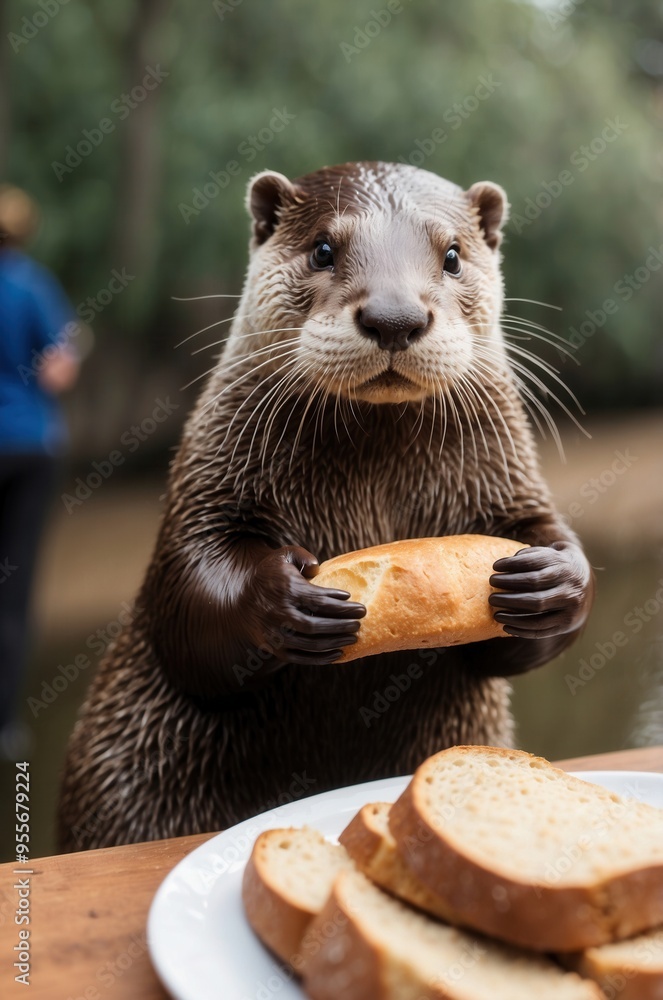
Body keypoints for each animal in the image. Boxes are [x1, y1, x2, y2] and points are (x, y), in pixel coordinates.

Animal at [58, 164, 596, 852]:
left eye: (452, 255)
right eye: (322, 249)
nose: (394, 316)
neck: (375, 479)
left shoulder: (506, 479)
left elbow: (525, 585)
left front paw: (555, 577)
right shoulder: (208, 482)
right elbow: (187, 608)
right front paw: (284, 599)